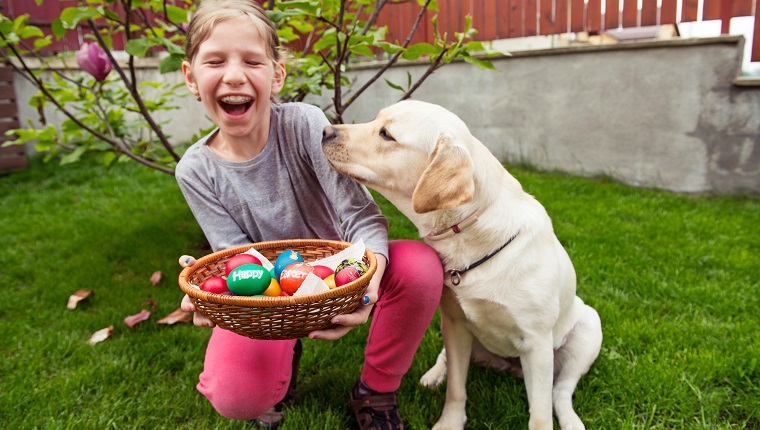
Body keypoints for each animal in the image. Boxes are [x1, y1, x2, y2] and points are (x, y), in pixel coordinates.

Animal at [320, 101, 600, 430]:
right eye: (376, 120)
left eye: (387, 134)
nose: (325, 131)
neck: (471, 234)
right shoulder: (455, 324)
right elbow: (456, 387)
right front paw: (450, 421)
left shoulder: (537, 342)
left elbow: (541, 414)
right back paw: (433, 375)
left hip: (588, 328)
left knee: (561, 391)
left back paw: (571, 421)